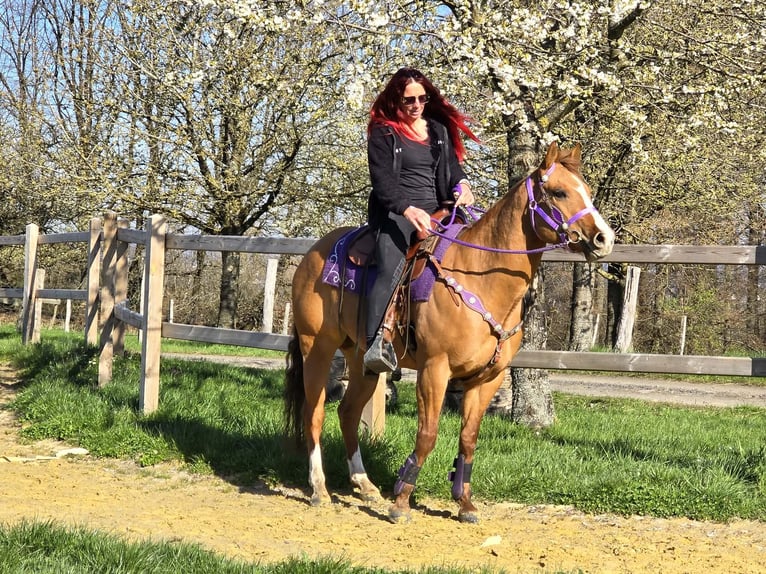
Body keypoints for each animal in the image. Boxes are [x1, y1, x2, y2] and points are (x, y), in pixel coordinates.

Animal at [284, 142, 615, 523]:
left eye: (587, 190)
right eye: (559, 192)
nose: (605, 238)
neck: (481, 277)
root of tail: (312, 254)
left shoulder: (487, 379)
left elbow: (468, 437)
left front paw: (464, 503)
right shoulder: (435, 369)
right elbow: (427, 434)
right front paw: (401, 500)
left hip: (361, 360)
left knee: (348, 413)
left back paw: (365, 485)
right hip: (317, 348)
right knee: (314, 413)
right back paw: (319, 489)